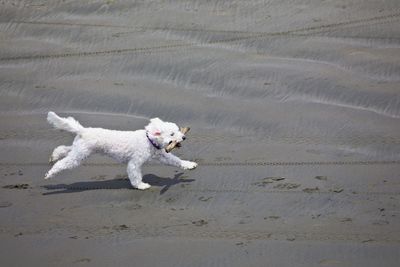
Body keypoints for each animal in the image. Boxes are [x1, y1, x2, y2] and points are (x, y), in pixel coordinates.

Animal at [44, 112, 198, 191]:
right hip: (79, 155)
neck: (149, 140)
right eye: (172, 134)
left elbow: (176, 160)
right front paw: (141, 185)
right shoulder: (135, 162)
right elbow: (135, 175)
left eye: (178, 130)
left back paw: (54, 156)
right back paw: (50, 173)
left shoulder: (161, 155)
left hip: (79, 149)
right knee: (62, 164)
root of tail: (83, 130)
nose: (184, 137)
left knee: (63, 149)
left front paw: (189, 165)